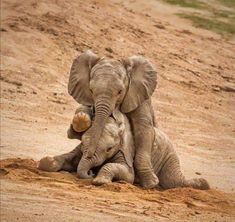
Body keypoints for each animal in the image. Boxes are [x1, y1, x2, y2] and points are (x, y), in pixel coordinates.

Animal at [38, 106, 209, 190]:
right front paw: (46, 163)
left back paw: (203, 184)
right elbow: (70, 158)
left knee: (174, 181)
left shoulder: (127, 150)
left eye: (109, 149)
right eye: (83, 142)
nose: (91, 172)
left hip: (169, 155)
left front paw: (100, 181)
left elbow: (128, 175)